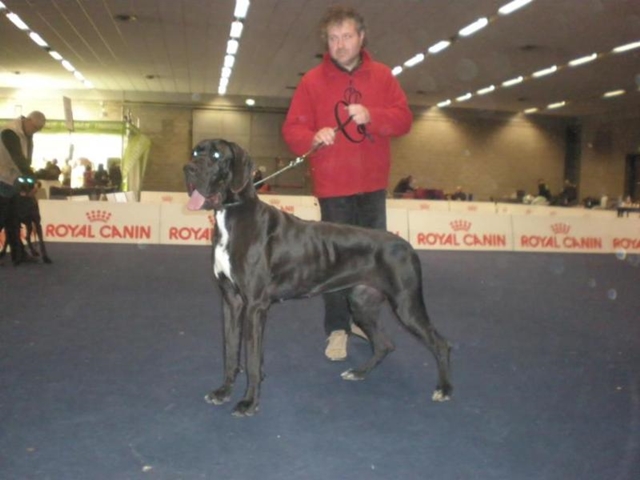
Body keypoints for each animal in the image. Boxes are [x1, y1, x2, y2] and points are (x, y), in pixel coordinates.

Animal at [185, 139, 452, 416]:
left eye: (217, 155)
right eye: (195, 152)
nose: (189, 169)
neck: (231, 214)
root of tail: (407, 245)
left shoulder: (255, 306)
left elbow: (251, 359)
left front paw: (249, 402)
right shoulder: (231, 301)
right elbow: (230, 352)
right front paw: (223, 391)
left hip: (406, 305)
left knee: (440, 343)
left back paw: (443, 389)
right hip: (362, 304)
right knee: (384, 344)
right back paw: (358, 373)